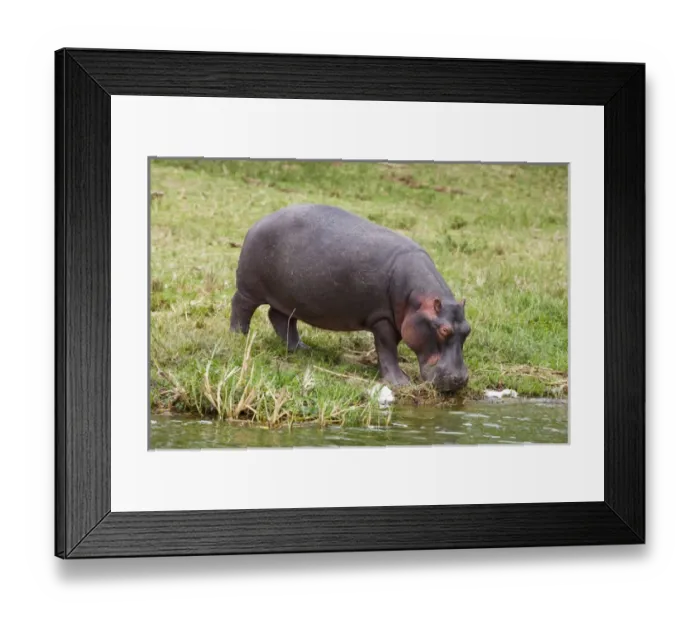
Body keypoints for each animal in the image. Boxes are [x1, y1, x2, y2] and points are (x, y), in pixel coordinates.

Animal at [230, 204, 471, 392]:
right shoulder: (382, 318)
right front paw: (401, 382)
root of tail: (260, 221)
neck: (419, 300)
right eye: (444, 330)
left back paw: (301, 349)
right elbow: (387, 348)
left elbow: (388, 349)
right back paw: (239, 336)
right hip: (249, 289)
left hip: (289, 299)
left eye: (468, 330)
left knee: (280, 318)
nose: (460, 380)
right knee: (241, 306)